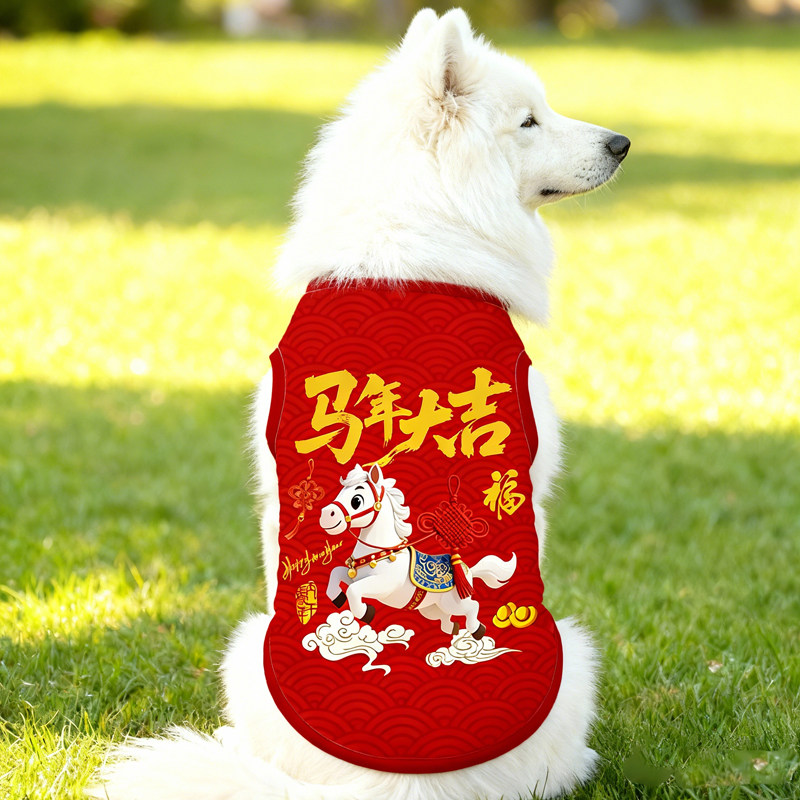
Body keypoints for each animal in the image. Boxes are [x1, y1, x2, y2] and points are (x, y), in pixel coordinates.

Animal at [322, 463, 516, 639]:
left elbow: (353, 590)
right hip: (432, 608)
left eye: (356, 500)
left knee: (473, 607)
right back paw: (451, 629)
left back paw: (477, 630)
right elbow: (336, 573)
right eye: (340, 492)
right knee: (444, 617)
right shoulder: (355, 575)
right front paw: (337, 598)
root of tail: (468, 571)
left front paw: (366, 612)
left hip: (454, 602)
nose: (325, 515)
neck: (380, 555)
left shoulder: (384, 584)